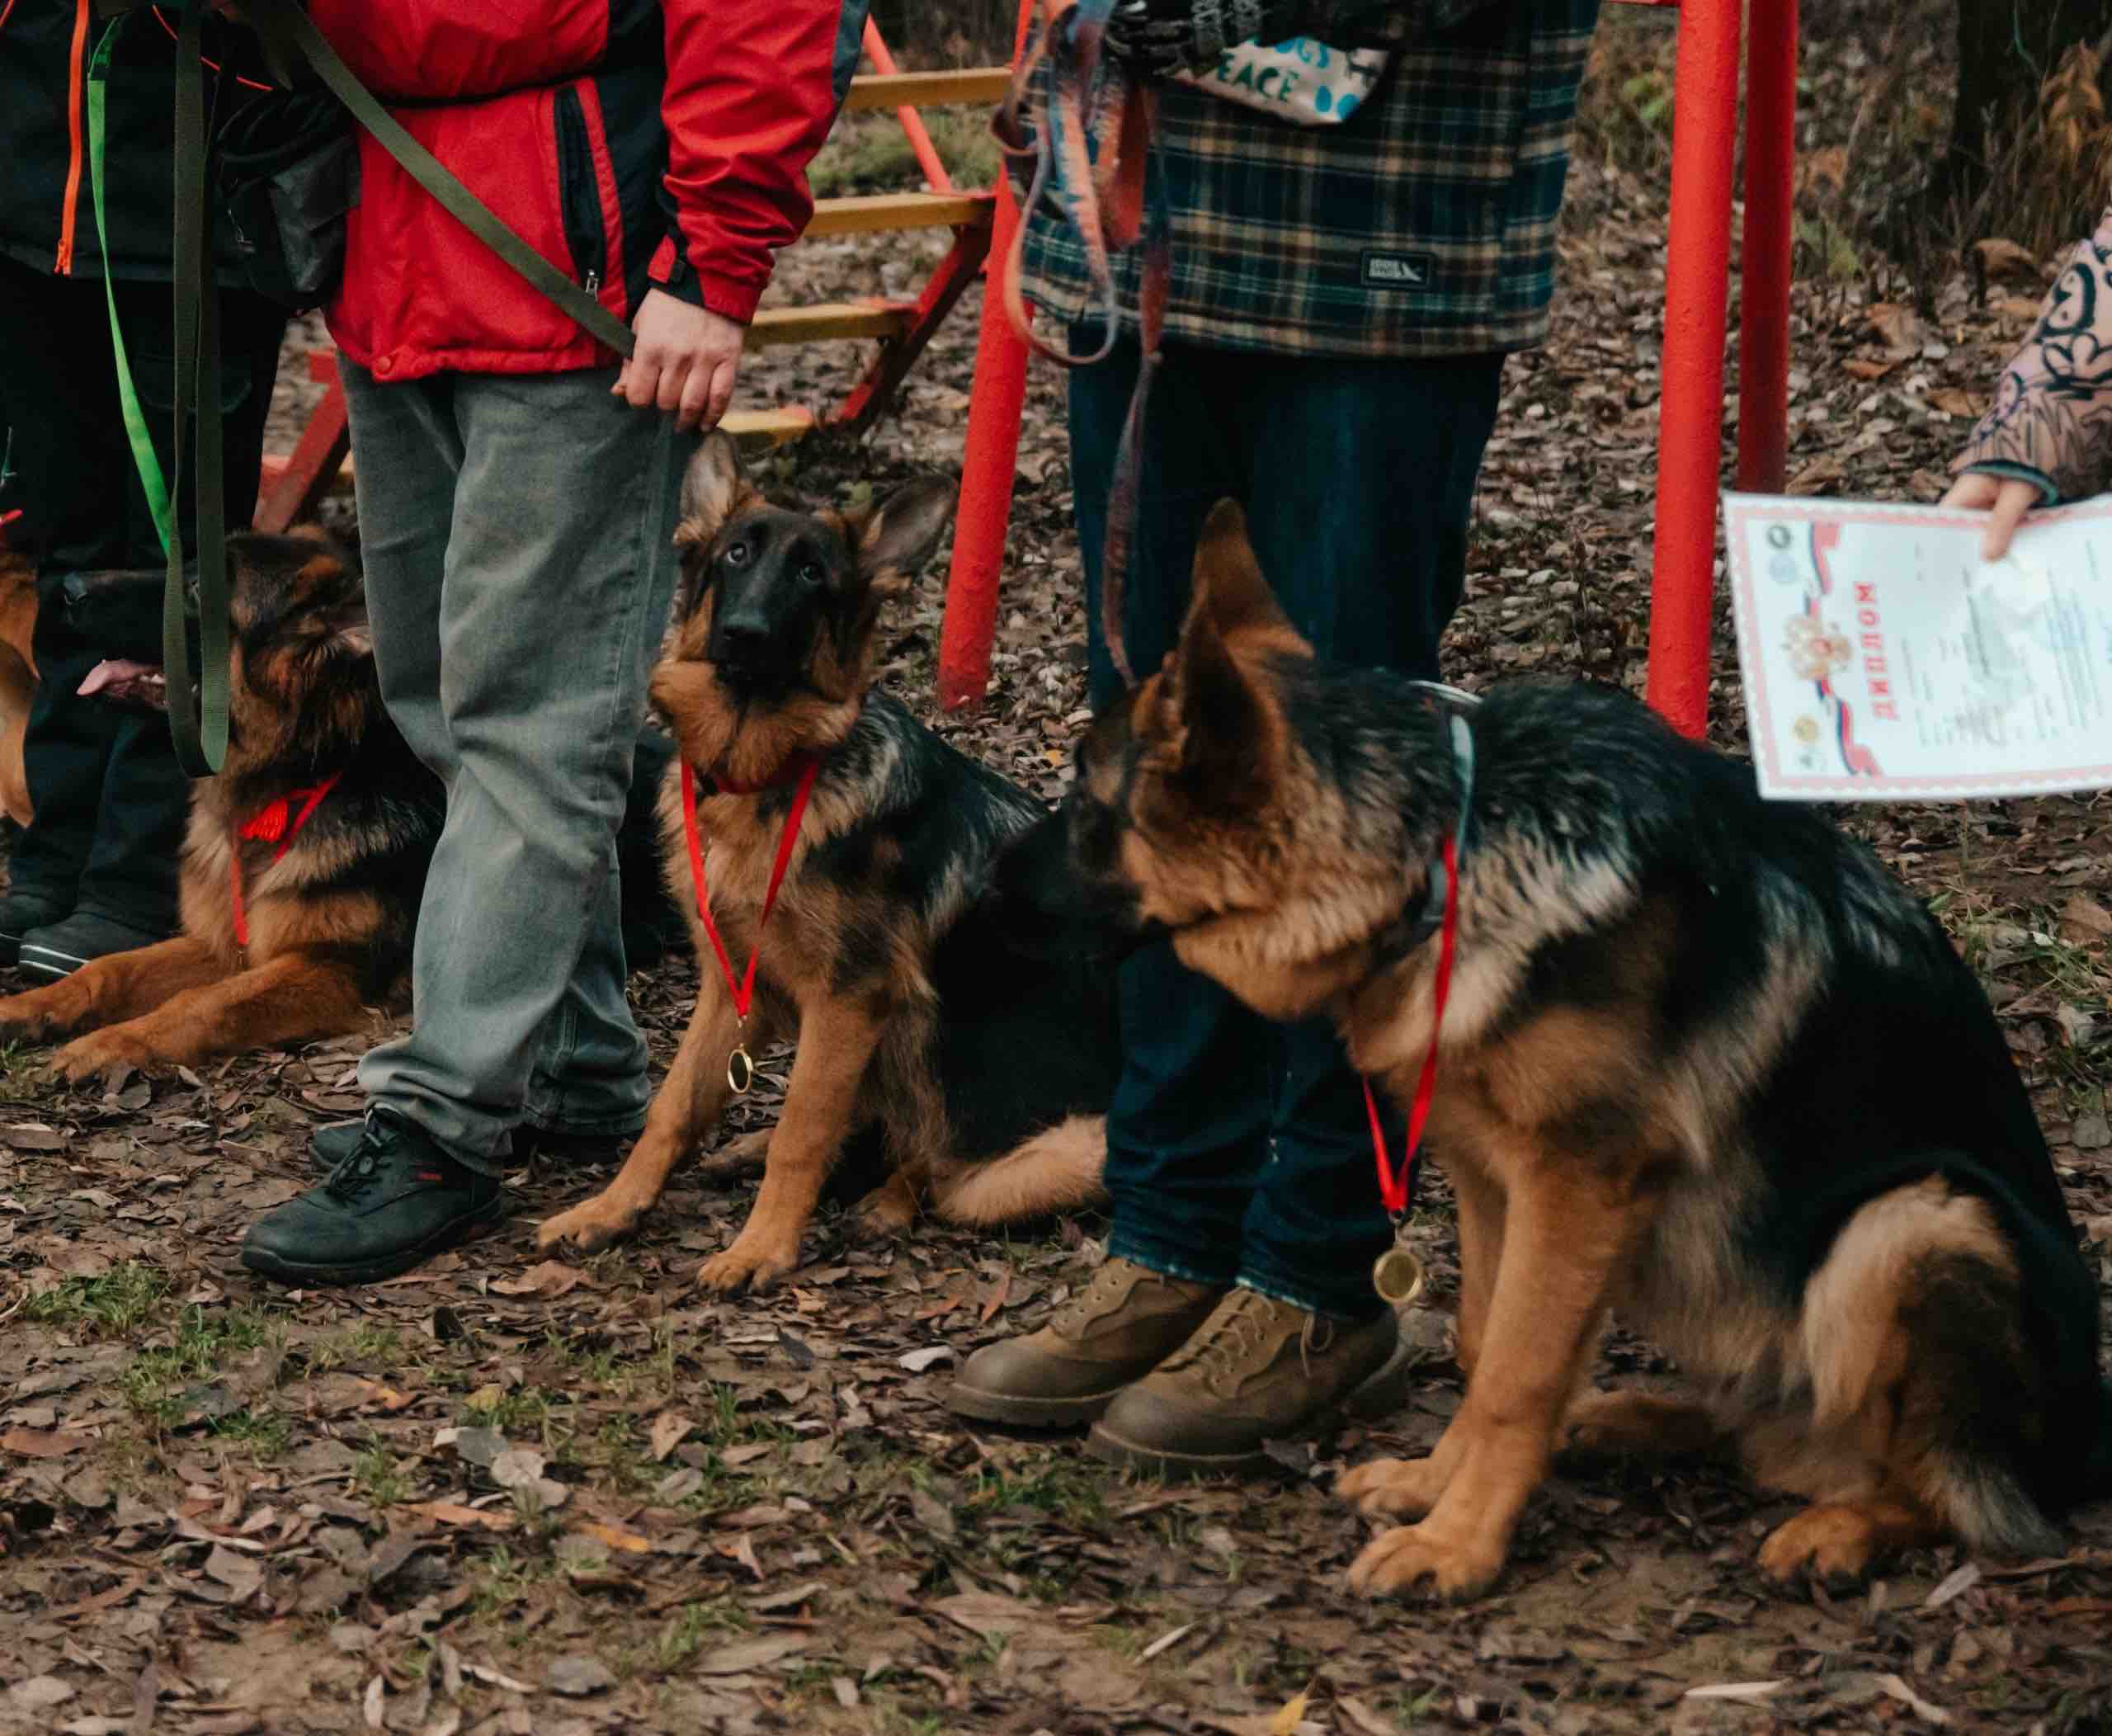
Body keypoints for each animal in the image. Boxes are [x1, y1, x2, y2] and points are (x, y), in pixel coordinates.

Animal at [536, 432, 1119, 1291]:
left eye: (812, 574)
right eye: (736, 554)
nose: (743, 634)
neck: (771, 778)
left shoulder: (848, 1000)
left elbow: (802, 1130)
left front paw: (760, 1248)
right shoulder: (729, 986)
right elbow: (672, 1107)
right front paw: (610, 1208)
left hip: (1018, 1133)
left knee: (938, 1167)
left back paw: (887, 1199)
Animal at [1027, 499, 2108, 1600]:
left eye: (1083, 807)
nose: (990, 874)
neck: (1446, 845)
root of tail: (2087, 1443)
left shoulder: (1578, 1180)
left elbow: (1517, 1370)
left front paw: (1458, 1543)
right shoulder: (1494, 1174)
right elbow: (1482, 1341)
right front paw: (1436, 1486)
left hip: (1915, 1222)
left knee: (1953, 1494)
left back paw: (1841, 1527)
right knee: (1765, 1430)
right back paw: (1627, 1421)